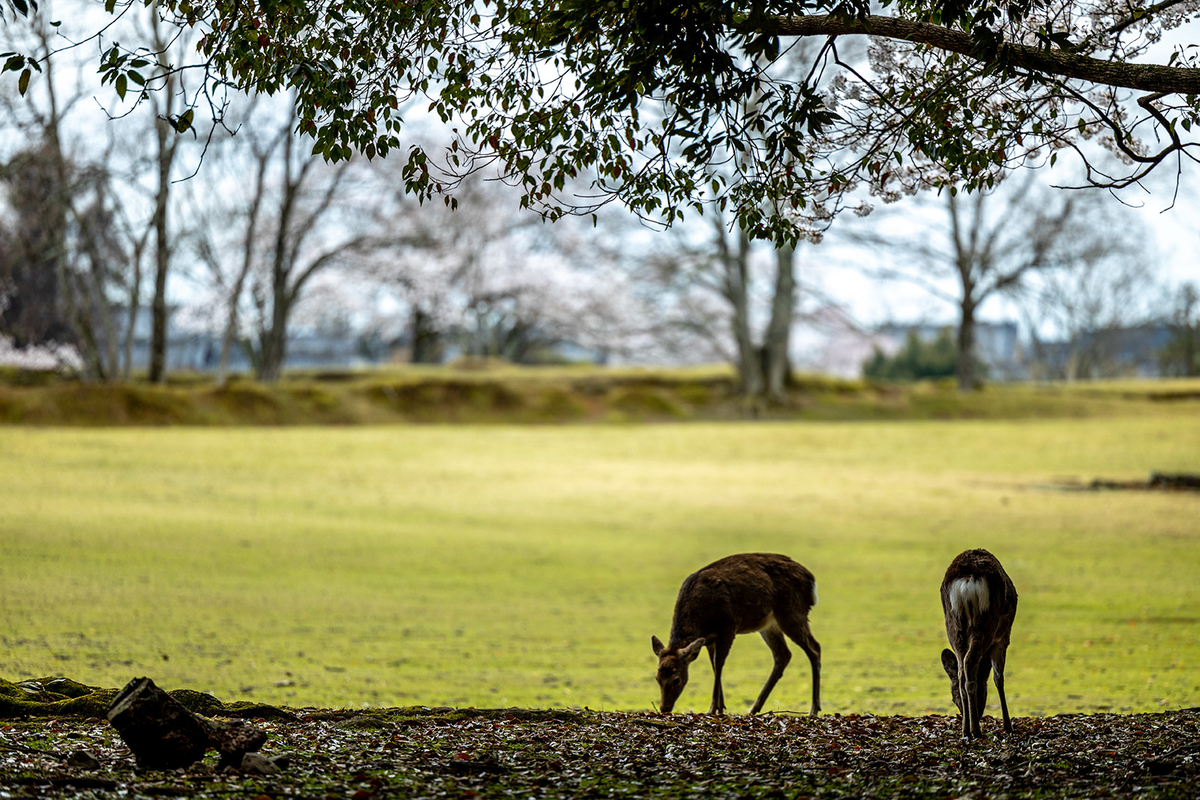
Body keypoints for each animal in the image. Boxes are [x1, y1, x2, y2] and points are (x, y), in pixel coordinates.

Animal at [652, 554, 820, 714]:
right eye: (657, 678)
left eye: (676, 680)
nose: (664, 708)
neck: (702, 618)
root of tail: (811, 580)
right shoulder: (709, 639)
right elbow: (714, 666)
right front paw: (720, 707)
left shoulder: (728, 626)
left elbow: (719, 664)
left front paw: (713, 708)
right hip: (770, 625)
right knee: (784, 654)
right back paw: (753, 709)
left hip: (792, 612)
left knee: (815, 649)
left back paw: (813, 710)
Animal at [940, 546, 1017, 743]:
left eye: (953, 699)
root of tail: (967, 578)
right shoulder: (1003, 639)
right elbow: (999, 678)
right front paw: (1008, 725)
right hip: (986, 623)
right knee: (970, 663)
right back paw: (976, 730)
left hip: (953, 626)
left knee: (961, 671)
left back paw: (965, 729)